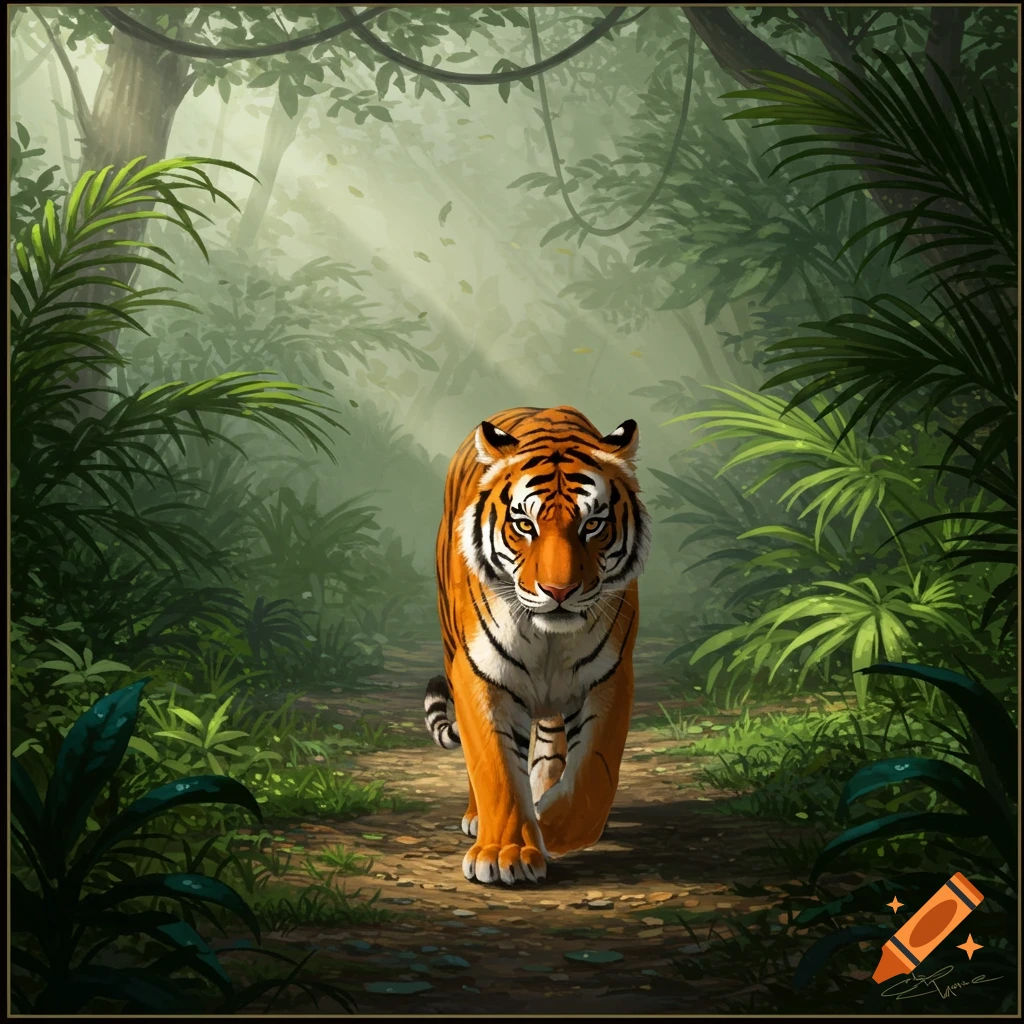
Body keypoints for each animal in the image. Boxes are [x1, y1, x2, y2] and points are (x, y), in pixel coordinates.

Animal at [423, 406, 651, 886]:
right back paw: (478, 818)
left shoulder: (609, 676)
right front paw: (505, 853)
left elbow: (595, 773)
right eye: (524, 525)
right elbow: (494, 767)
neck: (548, 638)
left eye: (592, 524)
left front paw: (552, 825)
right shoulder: (480, 673)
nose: (558, 590)